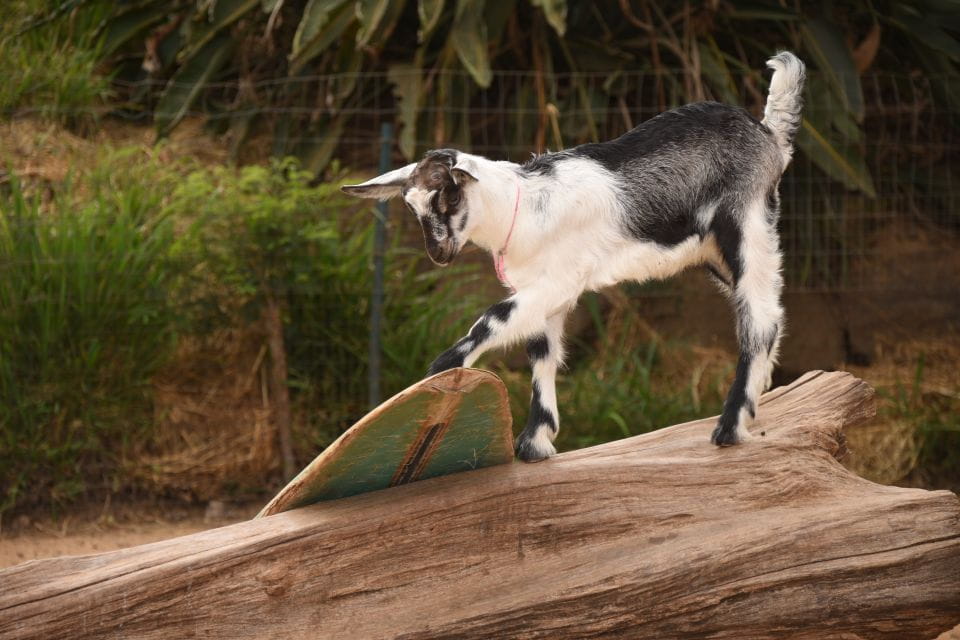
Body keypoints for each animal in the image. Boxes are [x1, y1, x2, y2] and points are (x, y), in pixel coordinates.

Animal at [343, 52, 806, 462]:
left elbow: (493, 320)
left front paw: (438, 377)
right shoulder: (544, 294)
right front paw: (535, 444)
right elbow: (542, 354)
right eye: (411, 206)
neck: (523, 205)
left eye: (450, 195)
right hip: (717, 252)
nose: (438, 253)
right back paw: (757, 400)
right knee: (772, 313)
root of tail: (769, 136)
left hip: (746, 225)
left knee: (759, 320)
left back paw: (730, 427)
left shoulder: (558, 281)